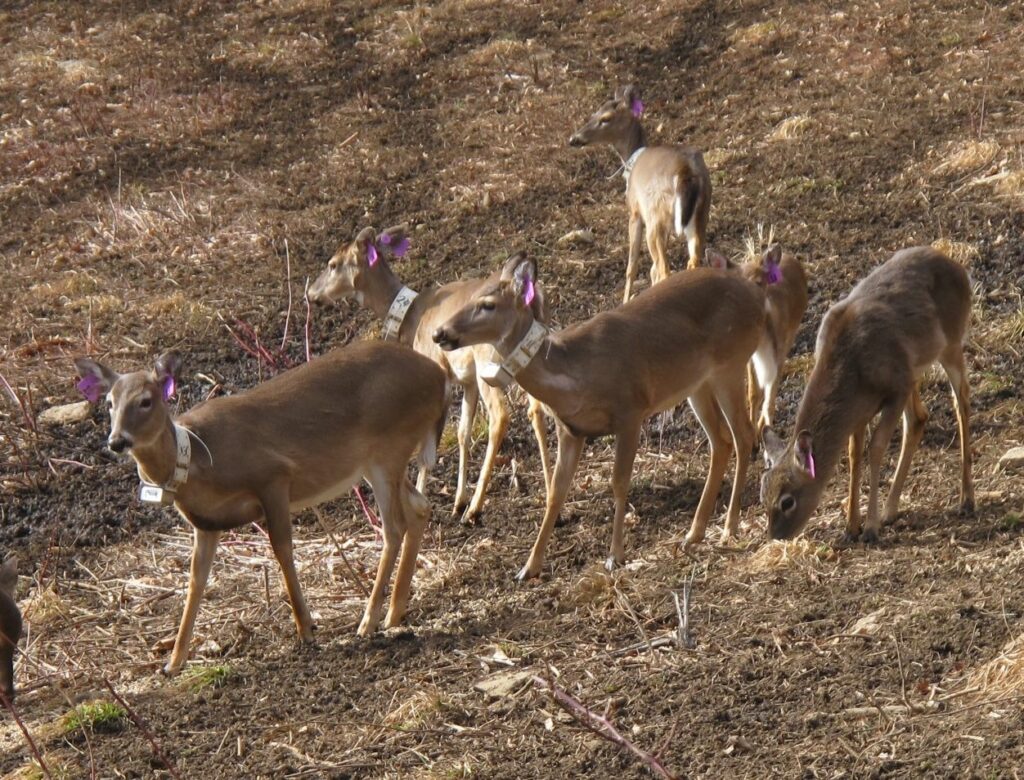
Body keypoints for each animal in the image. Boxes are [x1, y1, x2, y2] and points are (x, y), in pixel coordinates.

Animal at [76, 339, 448, 675]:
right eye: (109, 403)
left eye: (145, 400)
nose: (117, 441)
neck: (197, 459)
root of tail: (439, 376)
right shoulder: (206, 523)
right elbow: (195, 580)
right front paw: (173, 661)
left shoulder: (274, 477)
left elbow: (281, 549)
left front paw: (306, 629)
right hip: (377, 461)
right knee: (419, 508)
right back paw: (394, 613)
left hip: (389, 447)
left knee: (394, 527)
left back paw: (368, 621)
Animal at [307, 223, 552, 515]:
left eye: (332, 264)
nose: (310, 294)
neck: (409, 318)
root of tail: (532, 298)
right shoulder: (466, 380)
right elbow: (462, 433)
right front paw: (457, 499)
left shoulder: (438, 369)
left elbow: (429, 442)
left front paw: (426, 496)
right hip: (526, 360)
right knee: (536, 410)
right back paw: (550, 495)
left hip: (488, 361)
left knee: (500, 416)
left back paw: (475, 508)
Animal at [432, 251, 770, 573]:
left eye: (487, 304)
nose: (439, 333)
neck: (575, 372)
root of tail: (755, 294)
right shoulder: (570, 429)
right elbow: (555, 492)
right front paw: (528, 567)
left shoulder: (630, 411)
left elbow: (619, 482)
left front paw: (614, 555)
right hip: (695, 384)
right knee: (721, 441)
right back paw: (694, 533)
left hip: (730, 363)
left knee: (743, 436)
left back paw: (728, 527)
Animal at [569, 83, 712, 302]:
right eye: (594, 114)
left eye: (606, 118)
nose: (574, 139)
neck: (632, 158)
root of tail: (687, 172)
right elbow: (650, 269)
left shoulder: (635, 212)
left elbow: (632, 265)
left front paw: (626, 300)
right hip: (700, 213)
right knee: (692, 261)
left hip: (655, 215)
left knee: (664, 269)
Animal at [704, 243, 806, 434]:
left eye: (759, 282)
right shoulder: (749, 357)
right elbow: (753, 393)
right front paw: (753, 430)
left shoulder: (779, 349)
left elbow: (770, 395)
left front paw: (765, 429)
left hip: (790, 335)